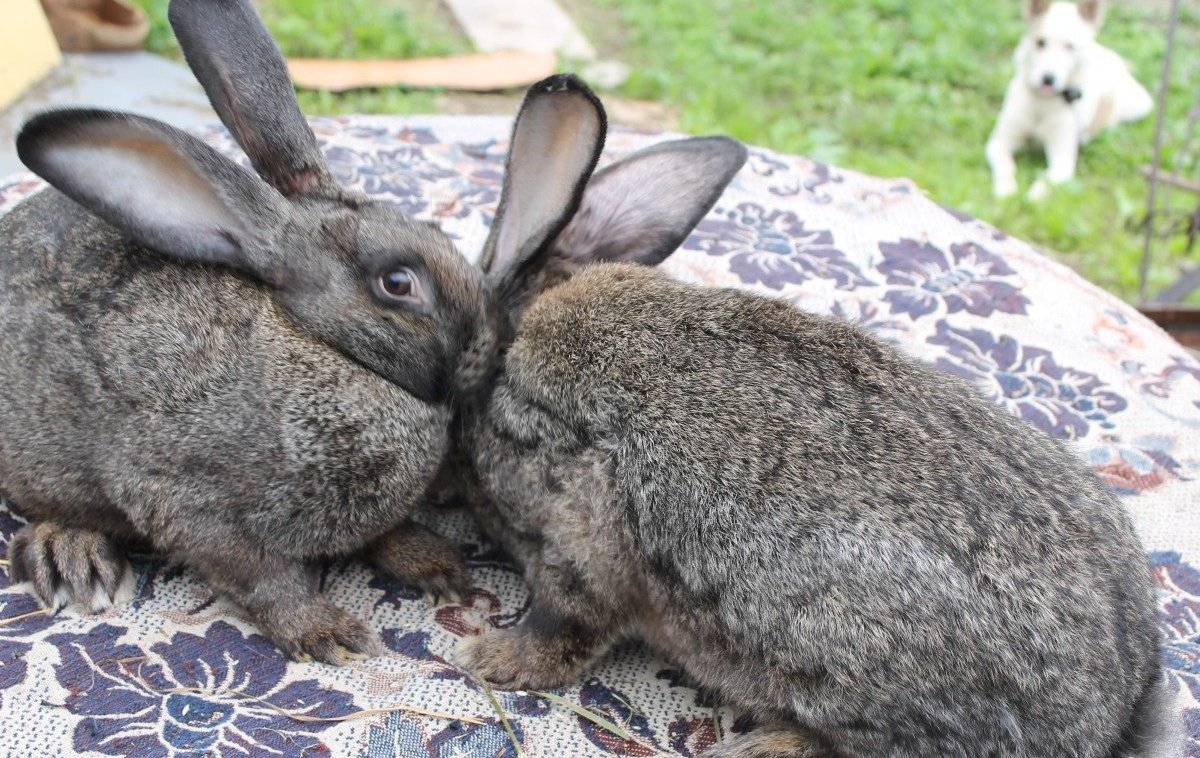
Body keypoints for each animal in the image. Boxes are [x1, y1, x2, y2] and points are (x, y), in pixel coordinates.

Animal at [0, 0, 480, 662]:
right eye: (398, 282)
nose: (482, 345)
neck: (319, 341)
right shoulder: (183, 500)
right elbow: (261, 574)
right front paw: (328, 633)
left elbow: (386, 532)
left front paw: (437, 565)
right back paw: (72, 558)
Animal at [984, 0, 1152, 200]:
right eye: (1041, 42)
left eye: (1070, 46)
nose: (1048, 78)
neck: (1042, 104)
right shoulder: (998, 143)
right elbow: (1006, 166)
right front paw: (1006, 190)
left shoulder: (1063, 159)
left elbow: (1046, 181)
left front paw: (1032, 198)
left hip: (1139, 105)